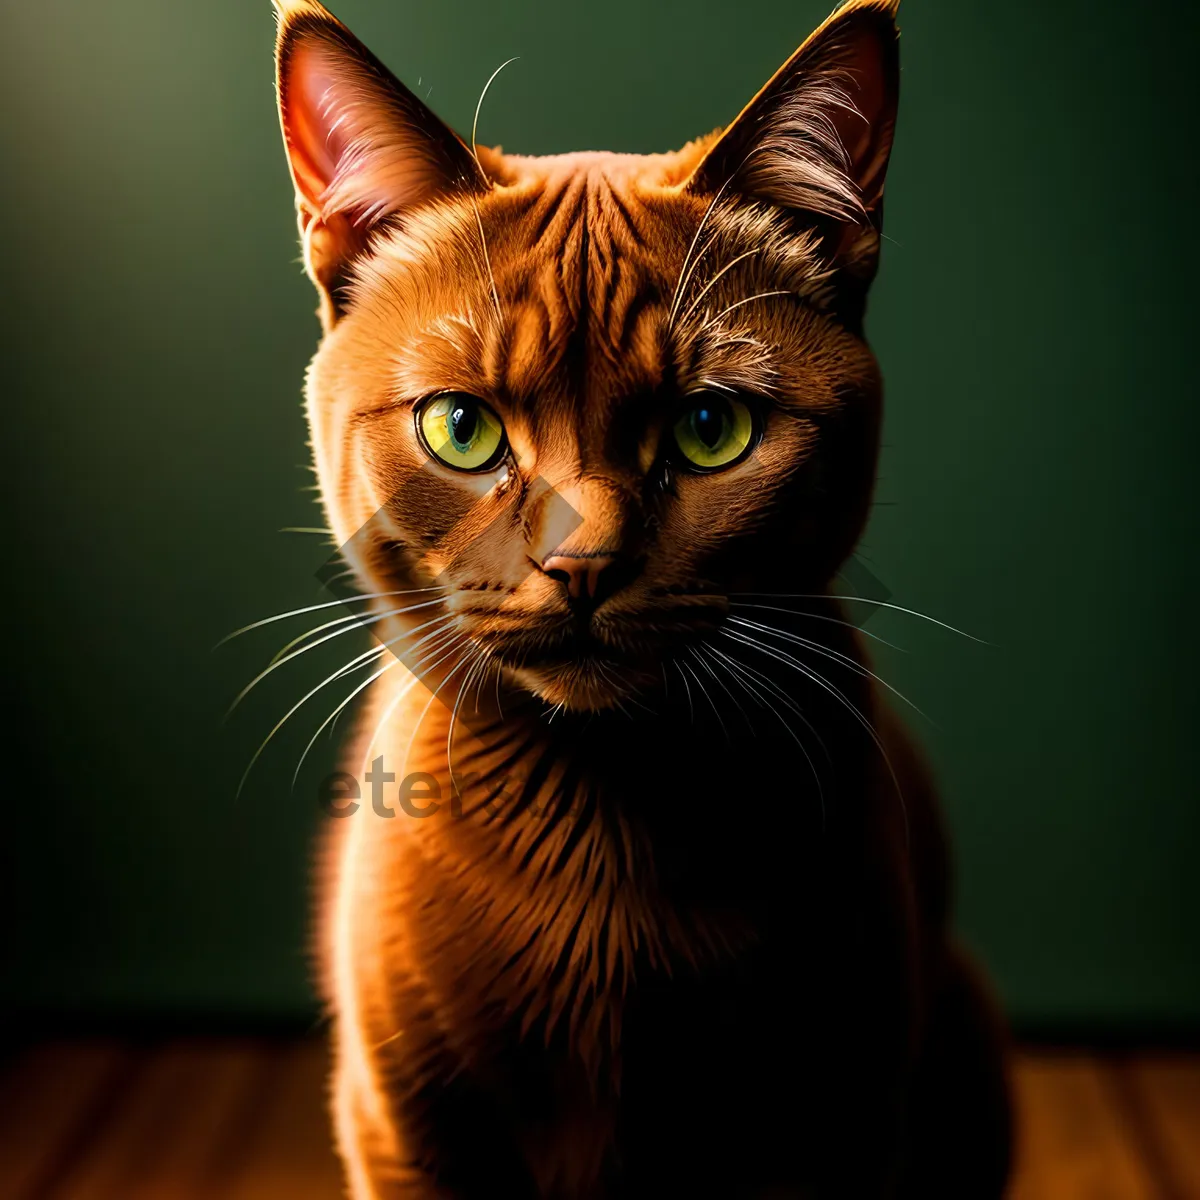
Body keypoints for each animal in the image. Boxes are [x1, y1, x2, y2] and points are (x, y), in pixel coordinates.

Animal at [272, 0, 1012, 1195]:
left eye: (711, 429)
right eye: (461, 428)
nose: (584, 564)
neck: (603, 823)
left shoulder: (845, 1124)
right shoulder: (401, 1128)